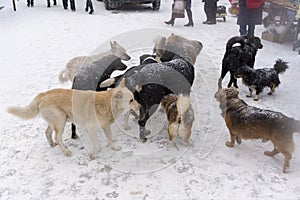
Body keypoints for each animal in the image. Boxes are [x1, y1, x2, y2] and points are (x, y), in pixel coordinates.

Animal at [6, 79, 138, 159]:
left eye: (134, 98)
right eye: (131, 100)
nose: (140, 106)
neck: (107, 104)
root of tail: (42, 94)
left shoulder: (106, 127)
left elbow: (110, 139)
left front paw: (114, 148)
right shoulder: (90, 130)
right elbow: (98, 145)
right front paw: (92, 154)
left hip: (57, 121)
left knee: (48, 132)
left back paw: (52, 144)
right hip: (61, 121)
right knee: (57, 138)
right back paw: (66, 152)